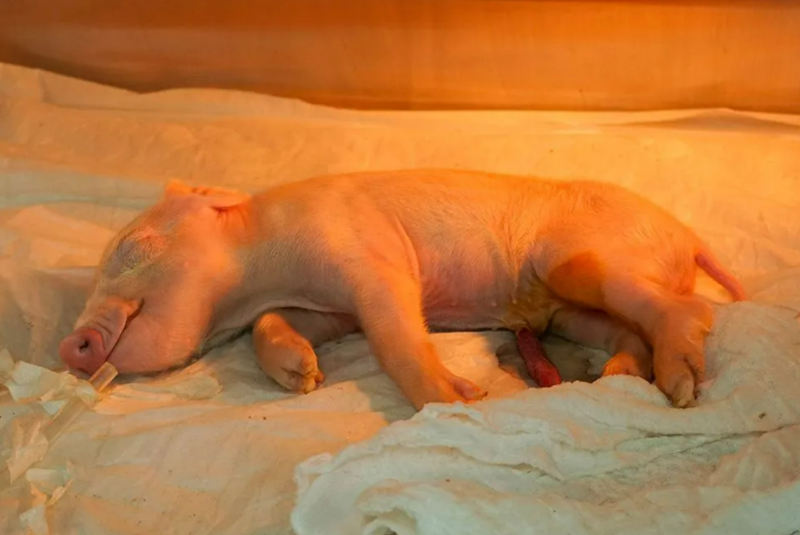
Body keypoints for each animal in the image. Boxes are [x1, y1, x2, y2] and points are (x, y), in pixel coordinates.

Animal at [59, 170, 745, 410]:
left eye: (130, 248)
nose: (69, 347)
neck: (262, 272)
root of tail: (689, 237)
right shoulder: (326, 308)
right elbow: (276, 327)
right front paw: (302, 378)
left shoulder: (366, 253)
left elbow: (394, 331)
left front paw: (461, 400)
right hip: (567, 313)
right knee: (626, 331)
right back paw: (619, 375)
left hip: (577, 260)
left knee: (691, 308)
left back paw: (681, 387)